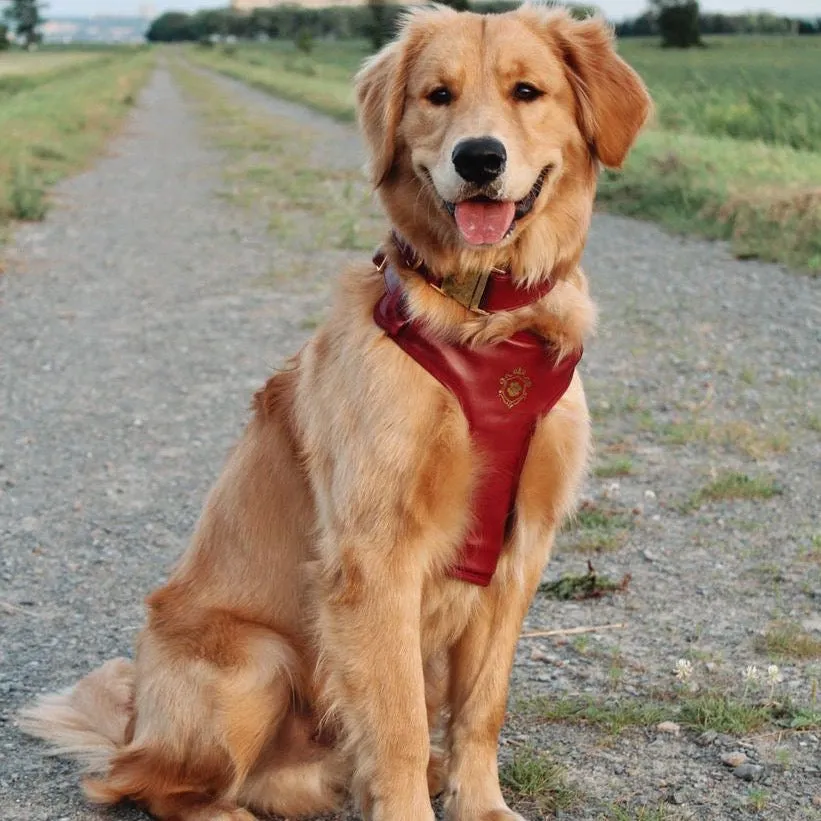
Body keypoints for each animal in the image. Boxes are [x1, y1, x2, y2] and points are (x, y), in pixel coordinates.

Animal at [19, 8, 652, 820]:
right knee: (152, 787)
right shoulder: (375, 555)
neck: (482, 317)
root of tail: (133, 731)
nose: (479, 158)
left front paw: (479, 804)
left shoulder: (521, 550)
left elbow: (482, 708)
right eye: (438, 95)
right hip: (255, 660)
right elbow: (400, 724)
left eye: (527, 91)